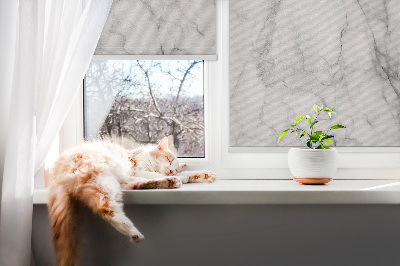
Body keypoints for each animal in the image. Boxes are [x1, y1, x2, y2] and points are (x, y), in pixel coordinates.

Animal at [48, 137, 216, 266]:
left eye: (174, 166)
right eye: (169, 160)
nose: (171, 171)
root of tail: (56, 172)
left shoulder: (134, 174)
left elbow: (184, 174)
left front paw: (203, 175)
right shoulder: (136, 169)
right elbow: (153, 174)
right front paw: (183, 176)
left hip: (114, 182)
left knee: (134, 186)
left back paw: (170, 182)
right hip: (103, 178)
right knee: (107, 209)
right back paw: (134, 232)